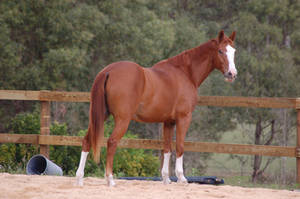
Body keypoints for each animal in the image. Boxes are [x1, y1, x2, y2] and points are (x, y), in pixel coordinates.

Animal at [75, 29, 237, 187]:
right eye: (220, 51)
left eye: (233, 51)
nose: (232, 74)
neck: (185, 72)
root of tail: (108, 71)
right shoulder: (184, 118)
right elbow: (180, 146)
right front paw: (181, 178)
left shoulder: (168, 122)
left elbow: (167, 148)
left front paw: (166, 179)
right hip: (122, 120)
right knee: (112, 142)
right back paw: (110, 179)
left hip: (100, 116)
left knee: (87, 141)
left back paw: (80, 179)